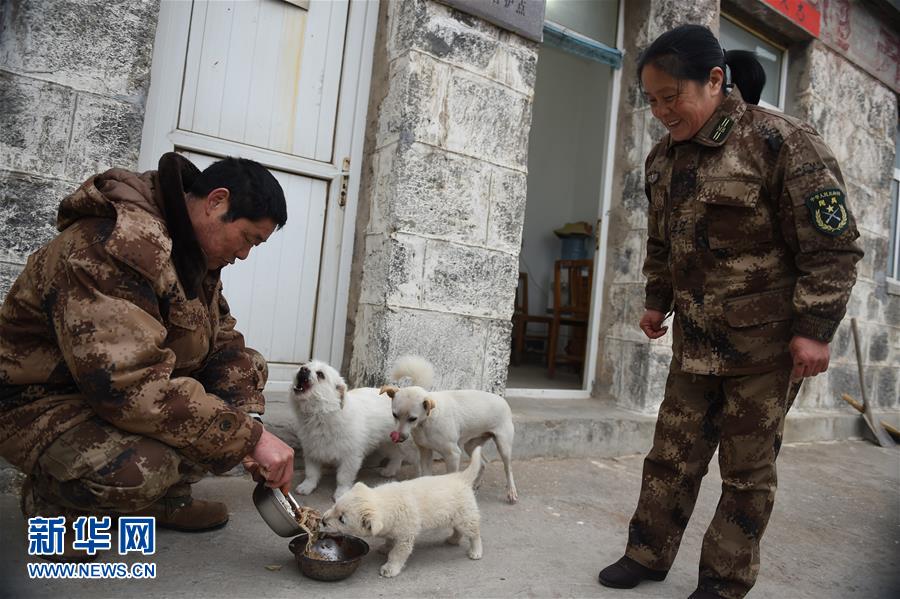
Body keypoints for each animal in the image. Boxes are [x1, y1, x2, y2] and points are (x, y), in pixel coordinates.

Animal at [290, 358, 420, 504]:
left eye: (320, 374)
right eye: (305, 366)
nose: (303, 369)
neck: (322, 415)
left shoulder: (350, 457)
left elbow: (343, 478)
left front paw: (341, 494)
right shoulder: (312, 452)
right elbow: (311, 473)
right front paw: (307, 487)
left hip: (408, 446)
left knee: (419, 460)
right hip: (386, 443)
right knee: (398, 456)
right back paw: (390, 470)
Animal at [320, 448, 482, 580]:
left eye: (342, 519)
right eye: (334, 506)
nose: (322, 520)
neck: (383, 502)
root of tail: (461, 478)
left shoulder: (405, 537)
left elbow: (397, 553)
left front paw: (390, 568)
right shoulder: (392, 528)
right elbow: (389, 539)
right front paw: (385, 547)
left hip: (466, 517)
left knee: (474, 534)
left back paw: (476, 551)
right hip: (456, 517)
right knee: (458, 530)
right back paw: (453, 539)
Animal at [382, 358, 520, 504]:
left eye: (412, 418)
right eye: (394, 415)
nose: (398, 437)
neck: (427, 420)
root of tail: (503, 400)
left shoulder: (453, 455)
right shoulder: (425, 452)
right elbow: (426, 474)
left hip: (503, 446)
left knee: (508, 469)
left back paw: (511, 492)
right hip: (470, 445)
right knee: (483, 462)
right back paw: (475, 484)